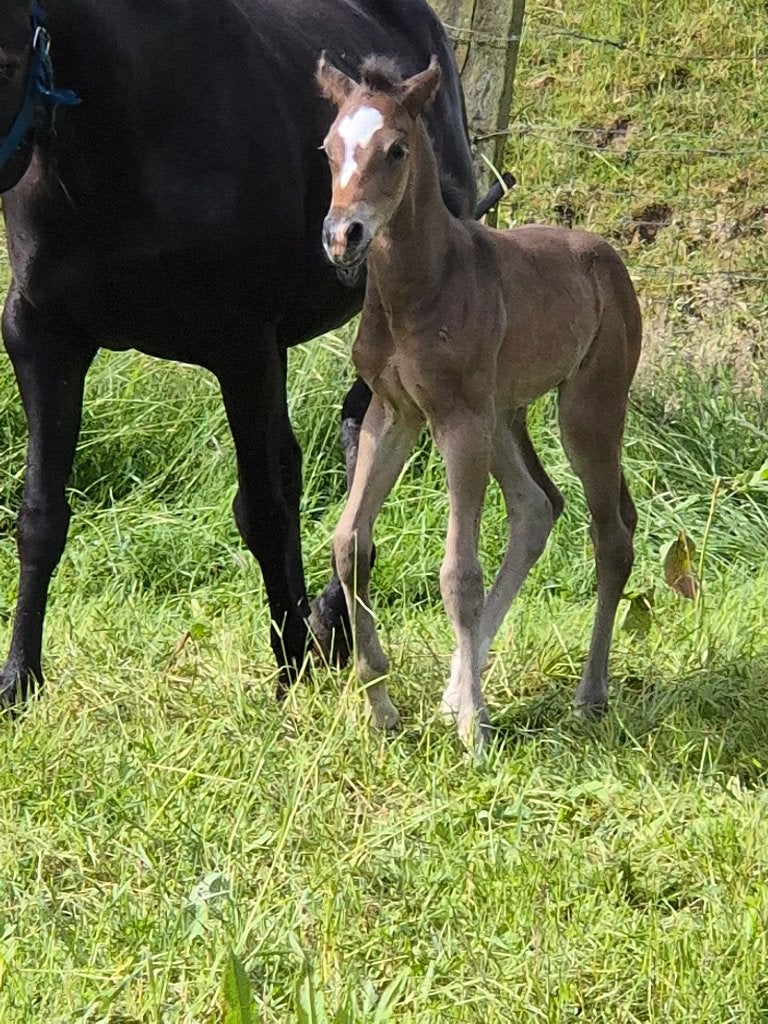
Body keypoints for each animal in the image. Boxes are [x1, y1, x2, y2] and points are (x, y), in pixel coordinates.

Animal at [0, 0, 491, 708]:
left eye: (9, 60)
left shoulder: (243, 346)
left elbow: (261, 507)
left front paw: (290, 668)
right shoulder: (42, 338)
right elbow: (40, 514)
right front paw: (18, 680)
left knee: (361, 440)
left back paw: (327, 625)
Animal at [317, 54, 642, 755]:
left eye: (396, 149)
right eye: (328, 148)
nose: (342, 236)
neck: (420, 289)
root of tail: (607, 256)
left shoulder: (456, 418)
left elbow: (458, 572)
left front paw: (474, 724)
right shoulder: (394, 414)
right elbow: (350, 543)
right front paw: (381, 705)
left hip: (587, 410)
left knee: (611, 537)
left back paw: (589, 695)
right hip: (502, 415)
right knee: (537, 507)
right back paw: (454, 687)